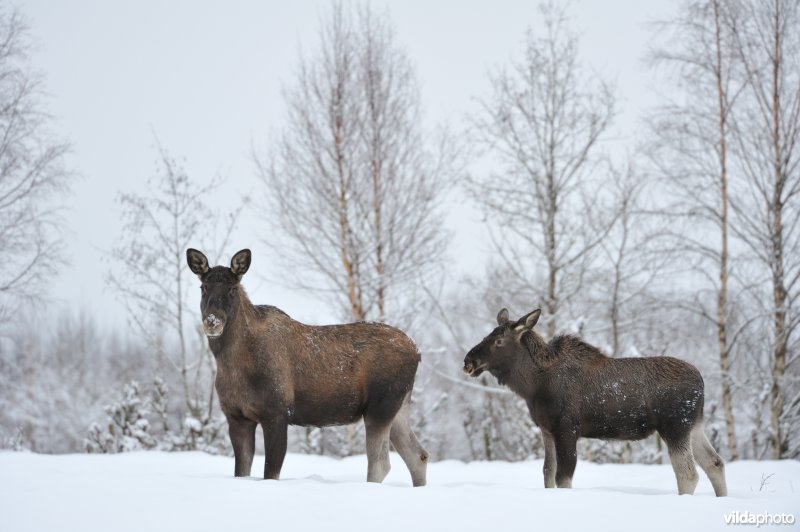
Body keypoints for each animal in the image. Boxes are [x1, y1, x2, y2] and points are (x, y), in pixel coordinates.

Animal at [187, 247, 428, 484]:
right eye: (203, 287)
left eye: (233, 289)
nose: (212, 321)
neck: (232, 365)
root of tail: (417, 352)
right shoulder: (237, 417)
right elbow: (242, 471)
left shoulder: (277, 413)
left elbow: (270, 473)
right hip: (398, 407)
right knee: (419, 455)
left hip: (380, 406)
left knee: (381, 463)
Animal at [466, 306, 728, 496]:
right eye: (487, 335)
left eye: (499, 341)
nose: (468, 361)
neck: (532, 386)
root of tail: (702, 382)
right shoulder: (546, 429)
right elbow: (547, 472)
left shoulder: (567, 428)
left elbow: (563, 477)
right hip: (694, 425)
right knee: (715, 463)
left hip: (674, 427)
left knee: (688, 472)